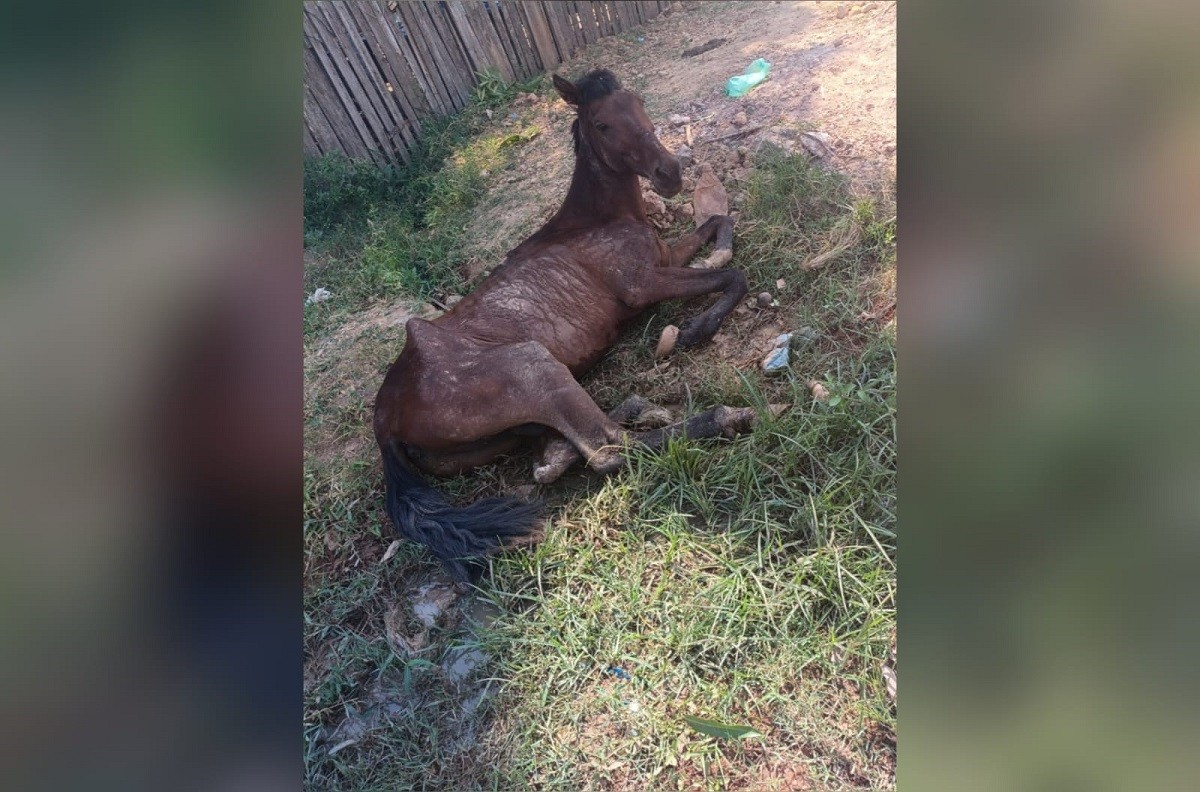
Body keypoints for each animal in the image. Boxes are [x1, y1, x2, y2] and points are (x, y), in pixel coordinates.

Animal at [373, 69, 755, 581]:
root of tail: (384, 416)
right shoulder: (642, 284)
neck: (597, 218)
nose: (670, 174)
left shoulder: (666, 258)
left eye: (638, 102)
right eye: (602, 124)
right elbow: (734, 274)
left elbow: (718, 222)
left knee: (565, 444)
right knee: (609, 451)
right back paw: (723, 417)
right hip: (532, 365)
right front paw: (698, 328)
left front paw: (716, 255)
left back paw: (604, 428)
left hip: (510, 428)